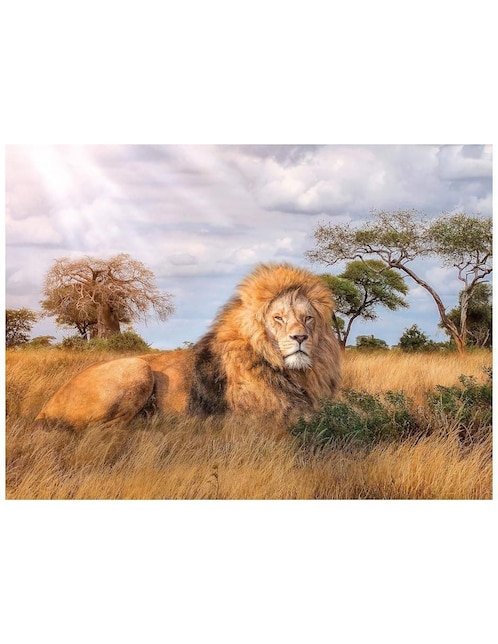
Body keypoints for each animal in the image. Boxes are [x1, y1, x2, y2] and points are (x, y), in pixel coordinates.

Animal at [35, 263, 342, 430]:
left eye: (308, 318)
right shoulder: (264, 421)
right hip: (137, 366)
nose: (300, 338)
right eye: (278, 318)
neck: (293, 373)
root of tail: (46, 406)